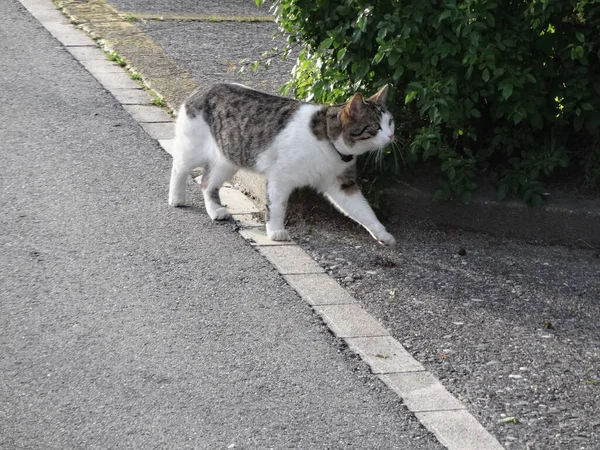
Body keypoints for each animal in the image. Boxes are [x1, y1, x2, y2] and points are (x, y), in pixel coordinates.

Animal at [168, 83, 398, 246]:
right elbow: (278, 206)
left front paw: (382, 233)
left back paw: (215, 210)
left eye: (390, 122)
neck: (328, 140)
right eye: (376, 127)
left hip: (228, 159)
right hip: (193, 149)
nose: (391, 135)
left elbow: (363, 210)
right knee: (179, 166)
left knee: (207, 183)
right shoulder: (280, 177)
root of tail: (201, 88)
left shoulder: (341, 184)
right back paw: (176, 197)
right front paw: (276, 231)